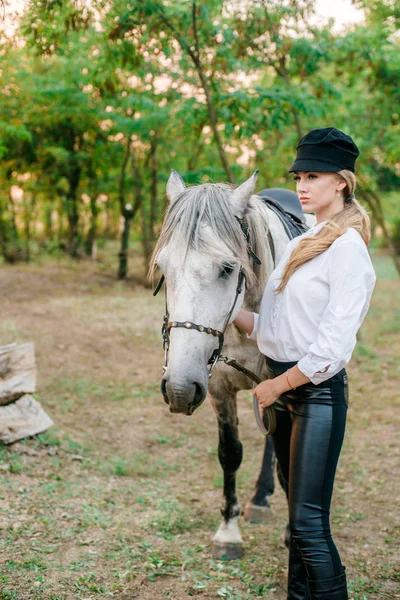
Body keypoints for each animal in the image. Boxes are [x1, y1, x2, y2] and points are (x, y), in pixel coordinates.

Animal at [149, 171, 310, 560]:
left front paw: (291, 535)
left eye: (226, 268)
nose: (178, 388)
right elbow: (230, 453)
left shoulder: (280, 387)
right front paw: (228, 531)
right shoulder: (218, 389)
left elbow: (288, 461)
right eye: (163, 268)